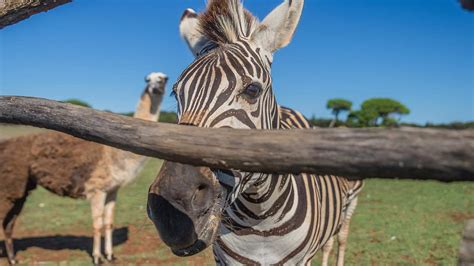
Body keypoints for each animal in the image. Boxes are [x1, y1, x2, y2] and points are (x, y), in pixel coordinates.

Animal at [147, 0, 362, 264]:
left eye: (253, 90)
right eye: (176, 93)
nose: (170, 214)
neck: (260, 221)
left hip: (350, 204)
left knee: (339, 239)